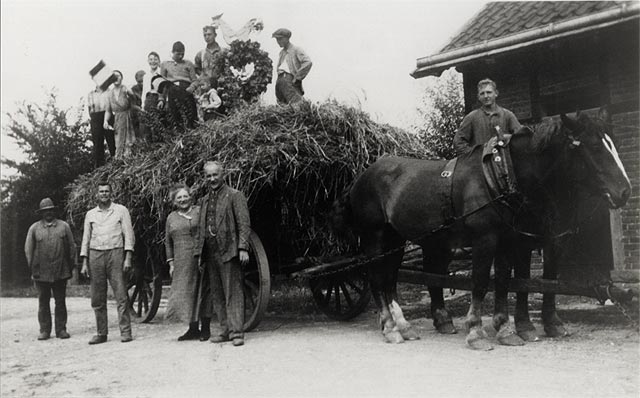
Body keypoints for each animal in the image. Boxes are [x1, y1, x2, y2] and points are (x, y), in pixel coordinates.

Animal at [338, 112, 632, 346]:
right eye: (594, 147)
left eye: (612, 144)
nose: (625, 191)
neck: (501, 174)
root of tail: (364, 175)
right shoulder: (486, 240)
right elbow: (480, 282)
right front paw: (476, 332)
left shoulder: (508, 241)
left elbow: (503, 281)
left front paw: (505, 330)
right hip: (375, 238)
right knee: (377, 279)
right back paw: (390, 328)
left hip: (395, 240)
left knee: (389, 278)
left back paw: (404, 326)